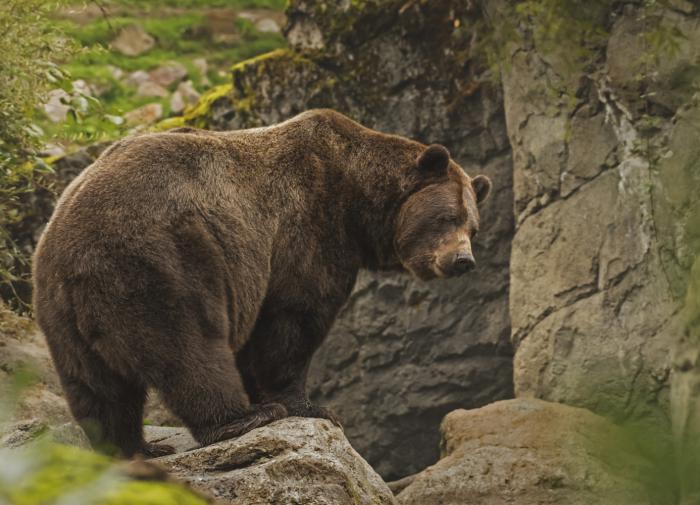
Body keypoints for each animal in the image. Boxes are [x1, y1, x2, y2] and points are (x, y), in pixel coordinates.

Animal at [32, 109, 492, 456]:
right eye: (447, 218)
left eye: (473, 225)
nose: (463, 261)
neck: (356, 200)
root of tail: (73, 254)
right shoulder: (305, 229)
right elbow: (293, 321)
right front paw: (309, 406)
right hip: (160, 258)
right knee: (188, 346)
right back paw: (239, 419)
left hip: (59, 308)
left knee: (96, 386)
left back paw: (133, 447)